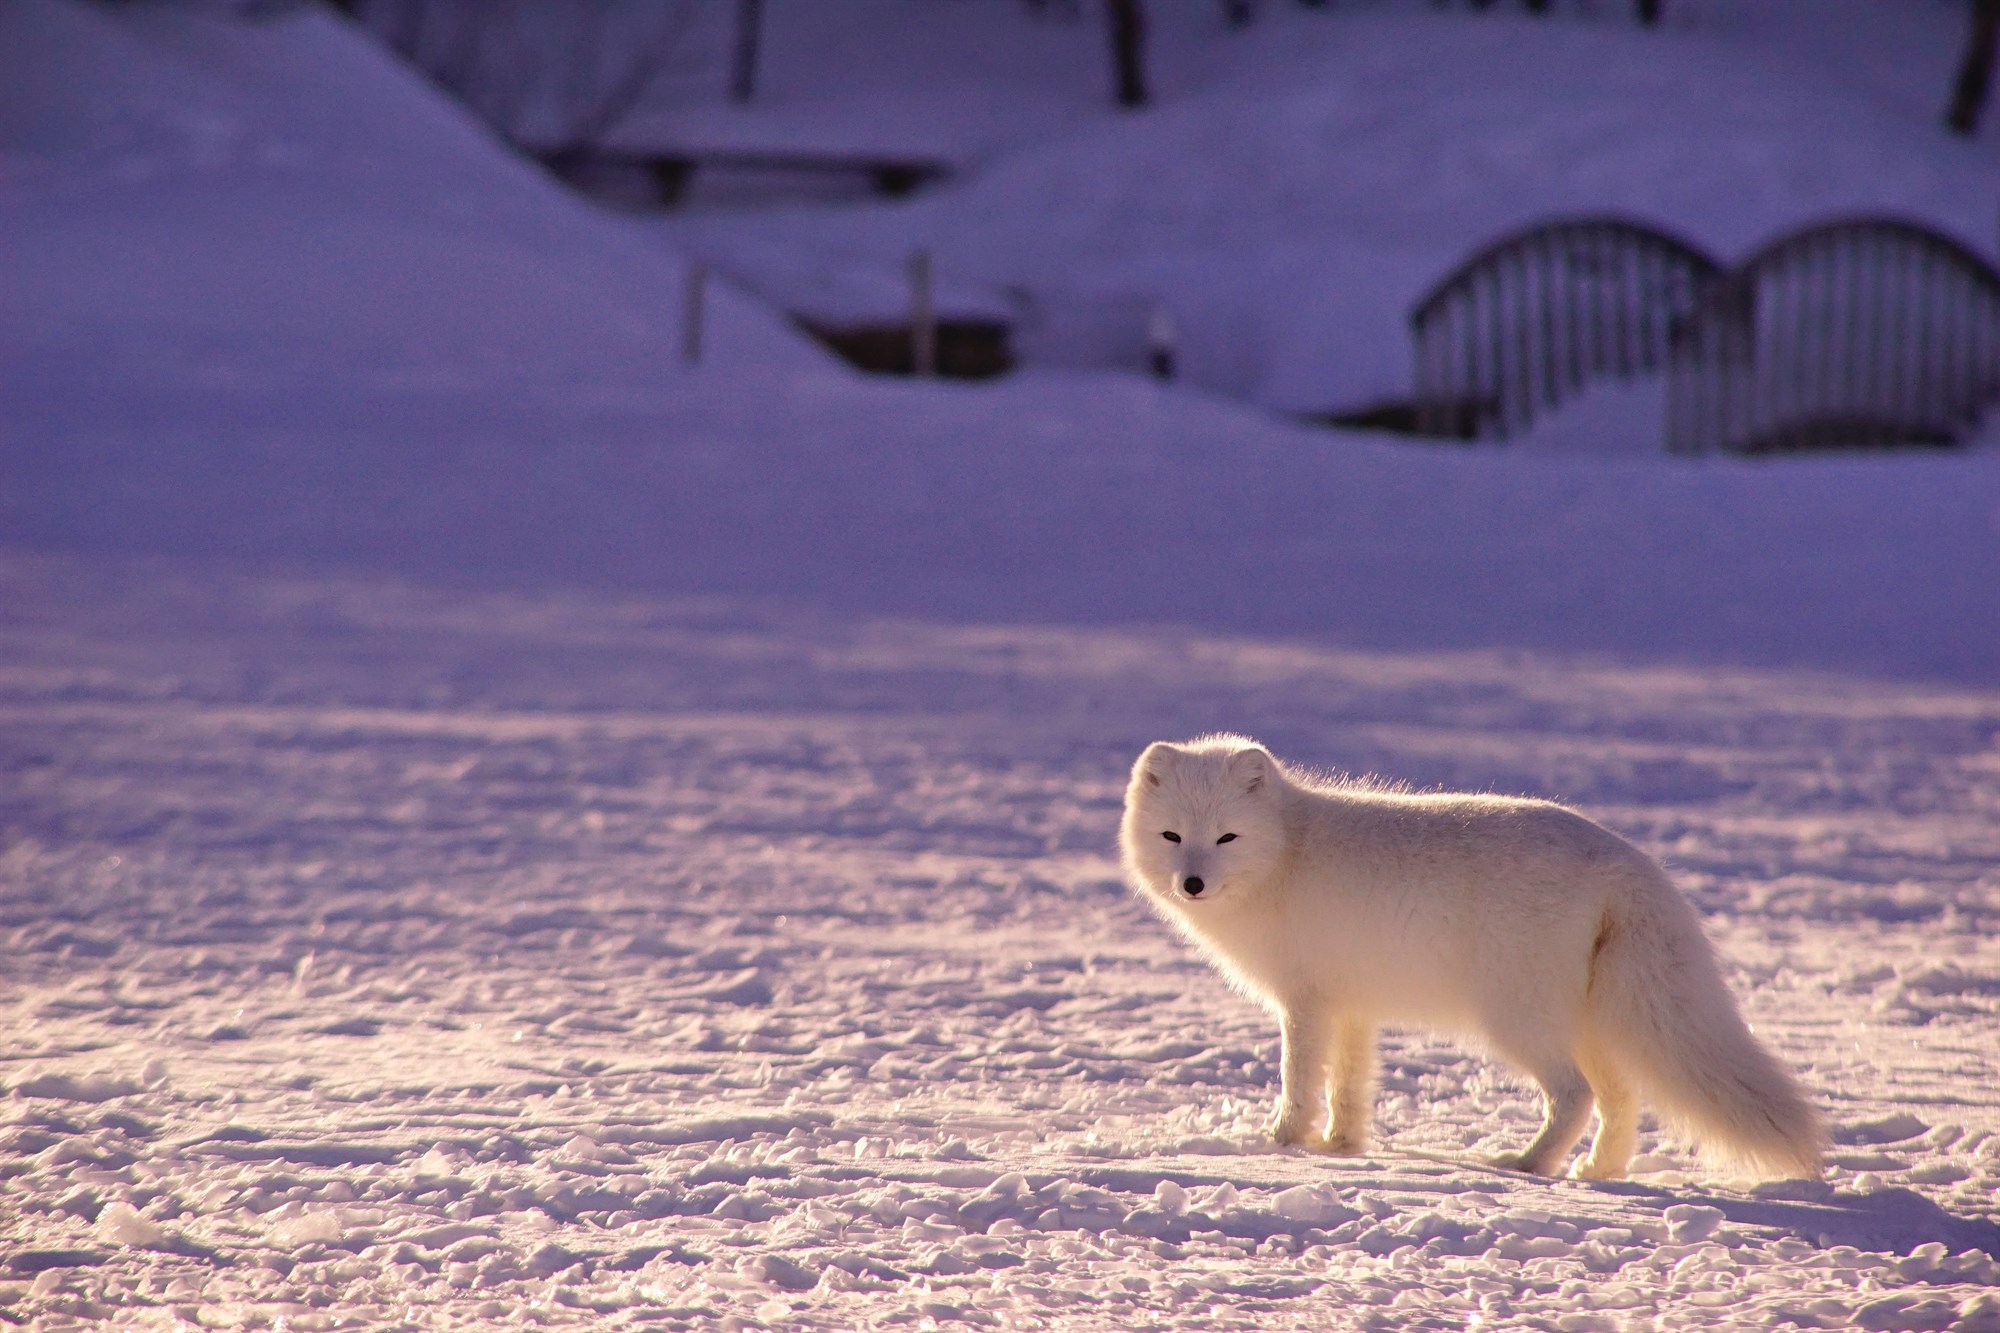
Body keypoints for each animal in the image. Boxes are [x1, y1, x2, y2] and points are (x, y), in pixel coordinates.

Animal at [1128, 732, 1832, 1176]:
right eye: (1172, 836)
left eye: (1227, 837)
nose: (1192, 883)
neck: (1286, 854)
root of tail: (1625, 861)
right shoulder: (1351, 1006)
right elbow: (1350, 1084)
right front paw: (1341, 1146)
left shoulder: (1304, 1004)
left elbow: (1299, 1080)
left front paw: (1280, 1143)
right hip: (1592, 1024)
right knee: (1621, 1101)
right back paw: (1596, 1171)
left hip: (1516, 1019)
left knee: (1575, 1095)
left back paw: (1530, 1164)